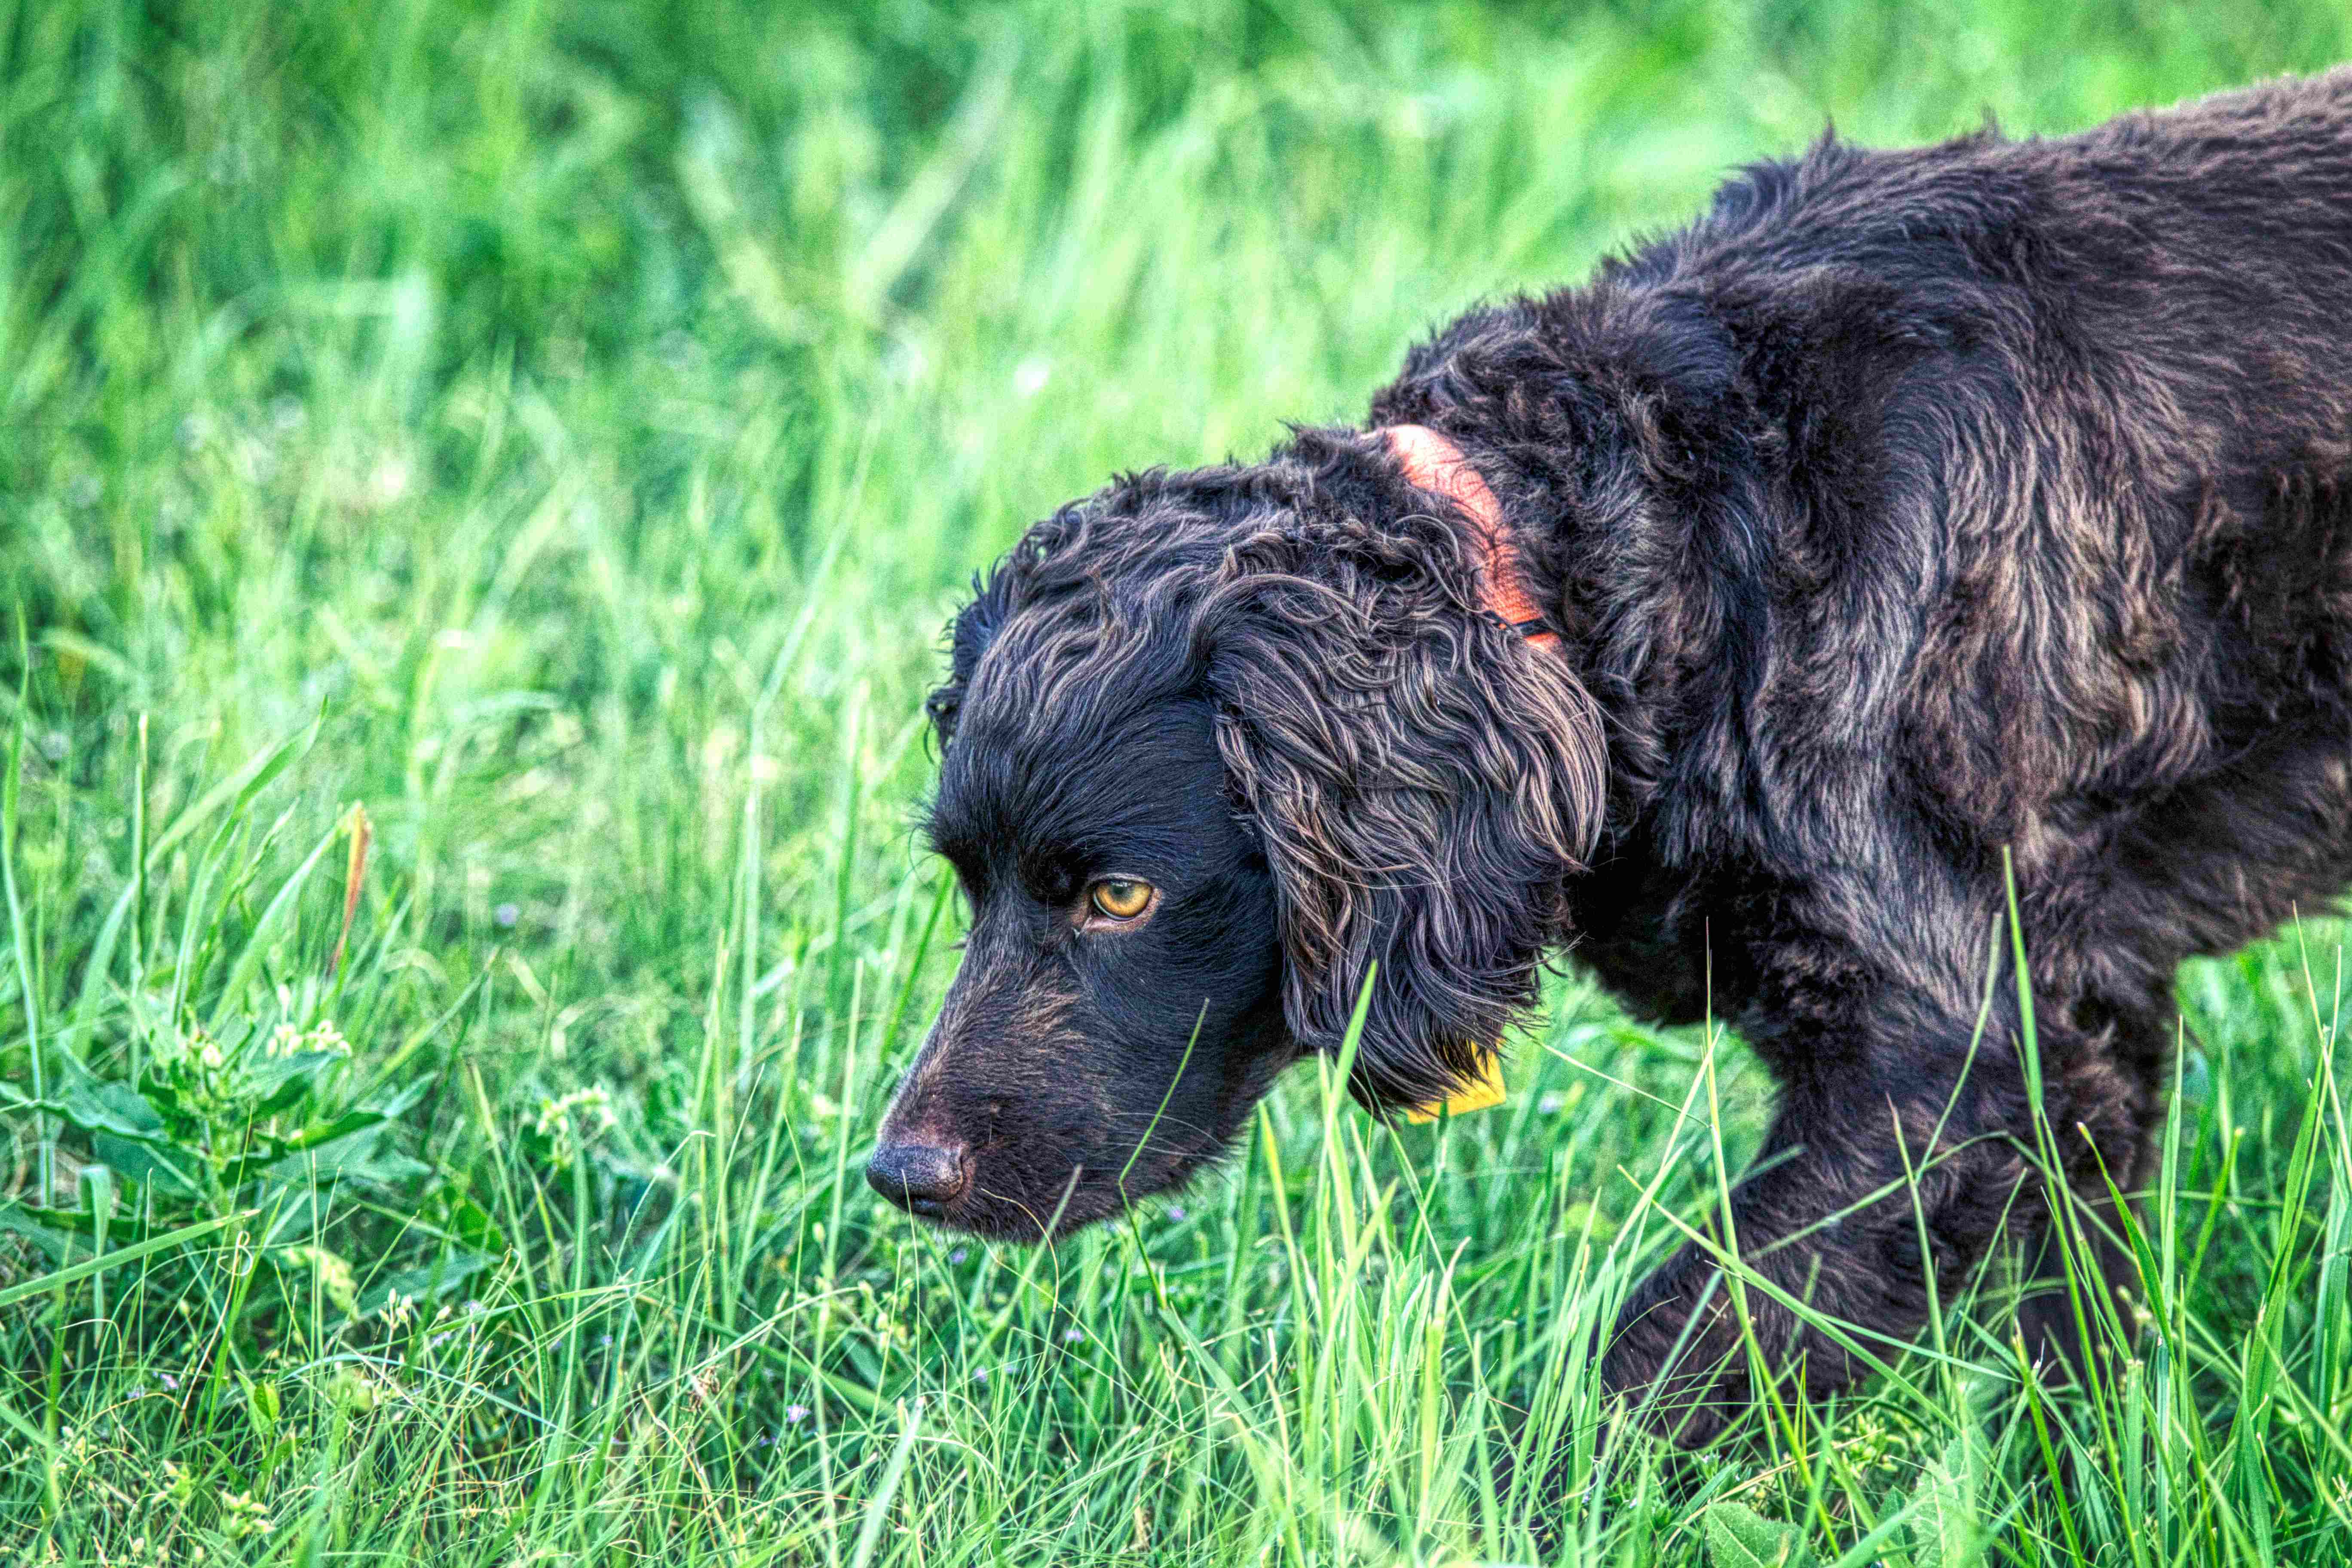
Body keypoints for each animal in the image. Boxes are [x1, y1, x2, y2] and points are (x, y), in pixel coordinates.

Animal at [875, 70, 2352, 1448]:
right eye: (968, 885)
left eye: (1119, 897)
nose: (898, 1174)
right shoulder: (2086, 1018)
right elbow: (2074, 1338)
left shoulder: (1953, 1060)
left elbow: (1661, 1357)